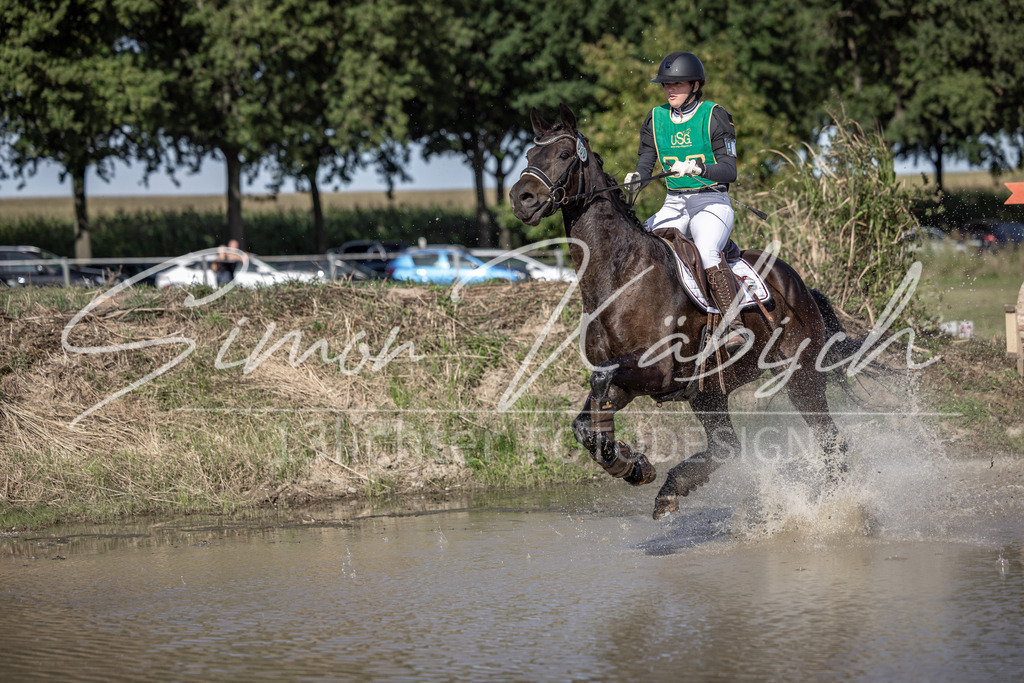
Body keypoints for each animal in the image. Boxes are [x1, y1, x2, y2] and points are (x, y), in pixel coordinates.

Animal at [510, 104, 859, 520]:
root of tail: (800, 284)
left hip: (802, 377)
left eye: (564, 155)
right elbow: (586, 420)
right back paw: (672, 489)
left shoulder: (658, 371)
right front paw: (631, 465)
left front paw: (625, 459)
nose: (521, 198)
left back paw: (837, 508)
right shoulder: (631, 381)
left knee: (831, 441)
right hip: (709, 392)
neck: (620, 277)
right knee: (726, 446)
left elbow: (600, 380)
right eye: (530, 155)